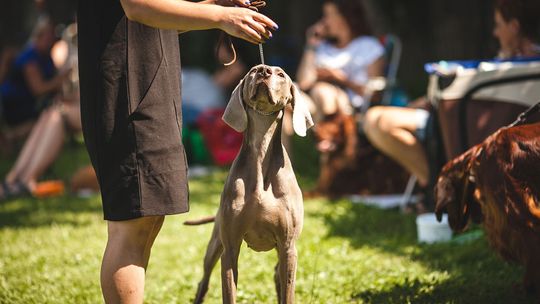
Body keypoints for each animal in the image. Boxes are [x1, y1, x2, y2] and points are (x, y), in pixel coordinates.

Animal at [186, 64, 312, 304]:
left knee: (277, 277)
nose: (263, 71)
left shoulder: (288, 247)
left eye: (281, 74)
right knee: (203, 281)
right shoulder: (230, 247)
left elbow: (288, 292)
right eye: (253, 70)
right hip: (215, 245)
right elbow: (229, 293)